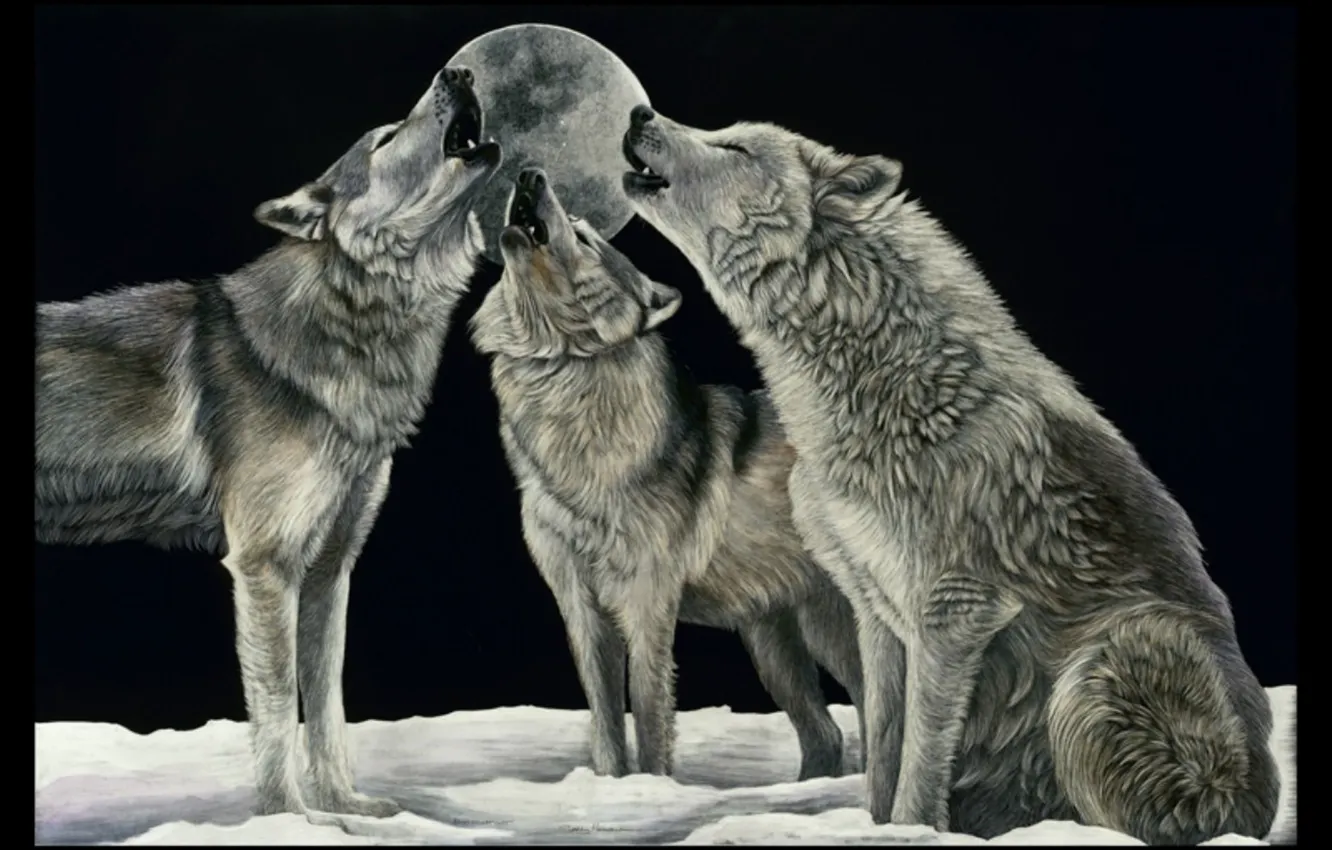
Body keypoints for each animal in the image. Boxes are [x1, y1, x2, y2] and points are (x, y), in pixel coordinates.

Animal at [36, 67, 501, 817]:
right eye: (386, 138)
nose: (457, 72)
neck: (349, 325)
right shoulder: (264, 566)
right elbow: (281, 708)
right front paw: (290, 815)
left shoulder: (329, 571)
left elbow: (329, 705)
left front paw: (344, 807)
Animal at [469, 166, 865, 780]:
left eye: (584, 237)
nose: (531, 174)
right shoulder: (582, 610)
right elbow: (606, 721)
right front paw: (610, 787)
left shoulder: (647, 605)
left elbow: (650, 713)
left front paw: (653, 786)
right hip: (771, 643)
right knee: (826, 735)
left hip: (833, 631)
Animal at [619, 104, 1283, 844]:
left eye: (733, 147)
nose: (640, 111)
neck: (889, 383)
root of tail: (1253, 799)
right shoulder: (876, 609)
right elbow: (884, 744)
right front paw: (874, 826)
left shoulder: (956, 612)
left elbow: (921, 755)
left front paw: (916, 829)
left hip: (1109, 658)